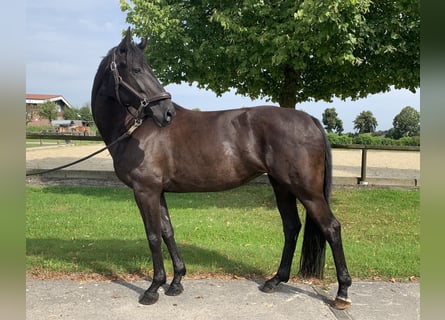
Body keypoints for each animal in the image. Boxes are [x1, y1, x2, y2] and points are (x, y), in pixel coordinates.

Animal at [91, 30, 350, 310]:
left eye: (145, 68)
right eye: (137, 69)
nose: (167, 112)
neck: (134, 129)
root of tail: (311, 120)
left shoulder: (145, 191)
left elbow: (153, 236)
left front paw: (153, 288)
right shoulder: (156, 191)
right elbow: (167, 232)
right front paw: (176, 281)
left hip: (307, 191)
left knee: (331, 228)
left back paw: (342, 293)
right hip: (282, 186)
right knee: (291, 227)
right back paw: (275, 281)